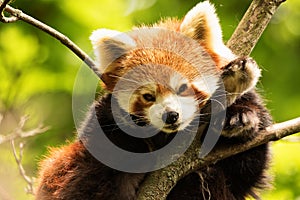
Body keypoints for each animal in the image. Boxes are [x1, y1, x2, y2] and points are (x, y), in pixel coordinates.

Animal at [35, 0, 272, 199]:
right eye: (148, 96)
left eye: (182, 87)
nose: (171, 116)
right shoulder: (102, 128)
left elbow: (247, 167)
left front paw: (240, 117)